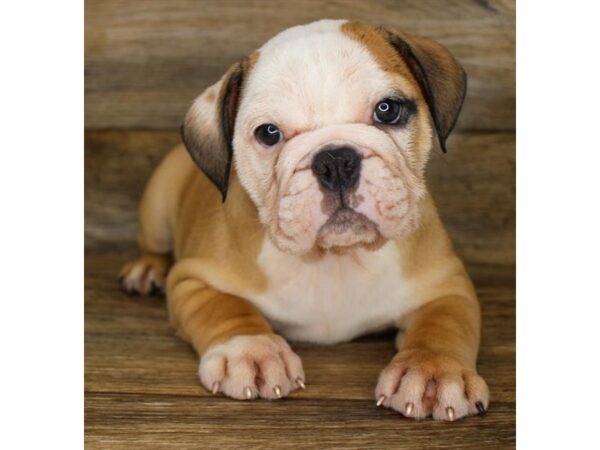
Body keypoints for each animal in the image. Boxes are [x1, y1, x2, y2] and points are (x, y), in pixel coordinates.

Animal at [119, 20, 490, 422]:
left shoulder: (446, 284)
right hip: (157, 205)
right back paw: (146, 269)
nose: (336, 160)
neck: (334, 258)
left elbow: (442, 325)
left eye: (388, 110)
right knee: (154, 244)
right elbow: (226, 308)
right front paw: (251, 350)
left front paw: (432, 371)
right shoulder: (195, 279)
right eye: (269, 133)